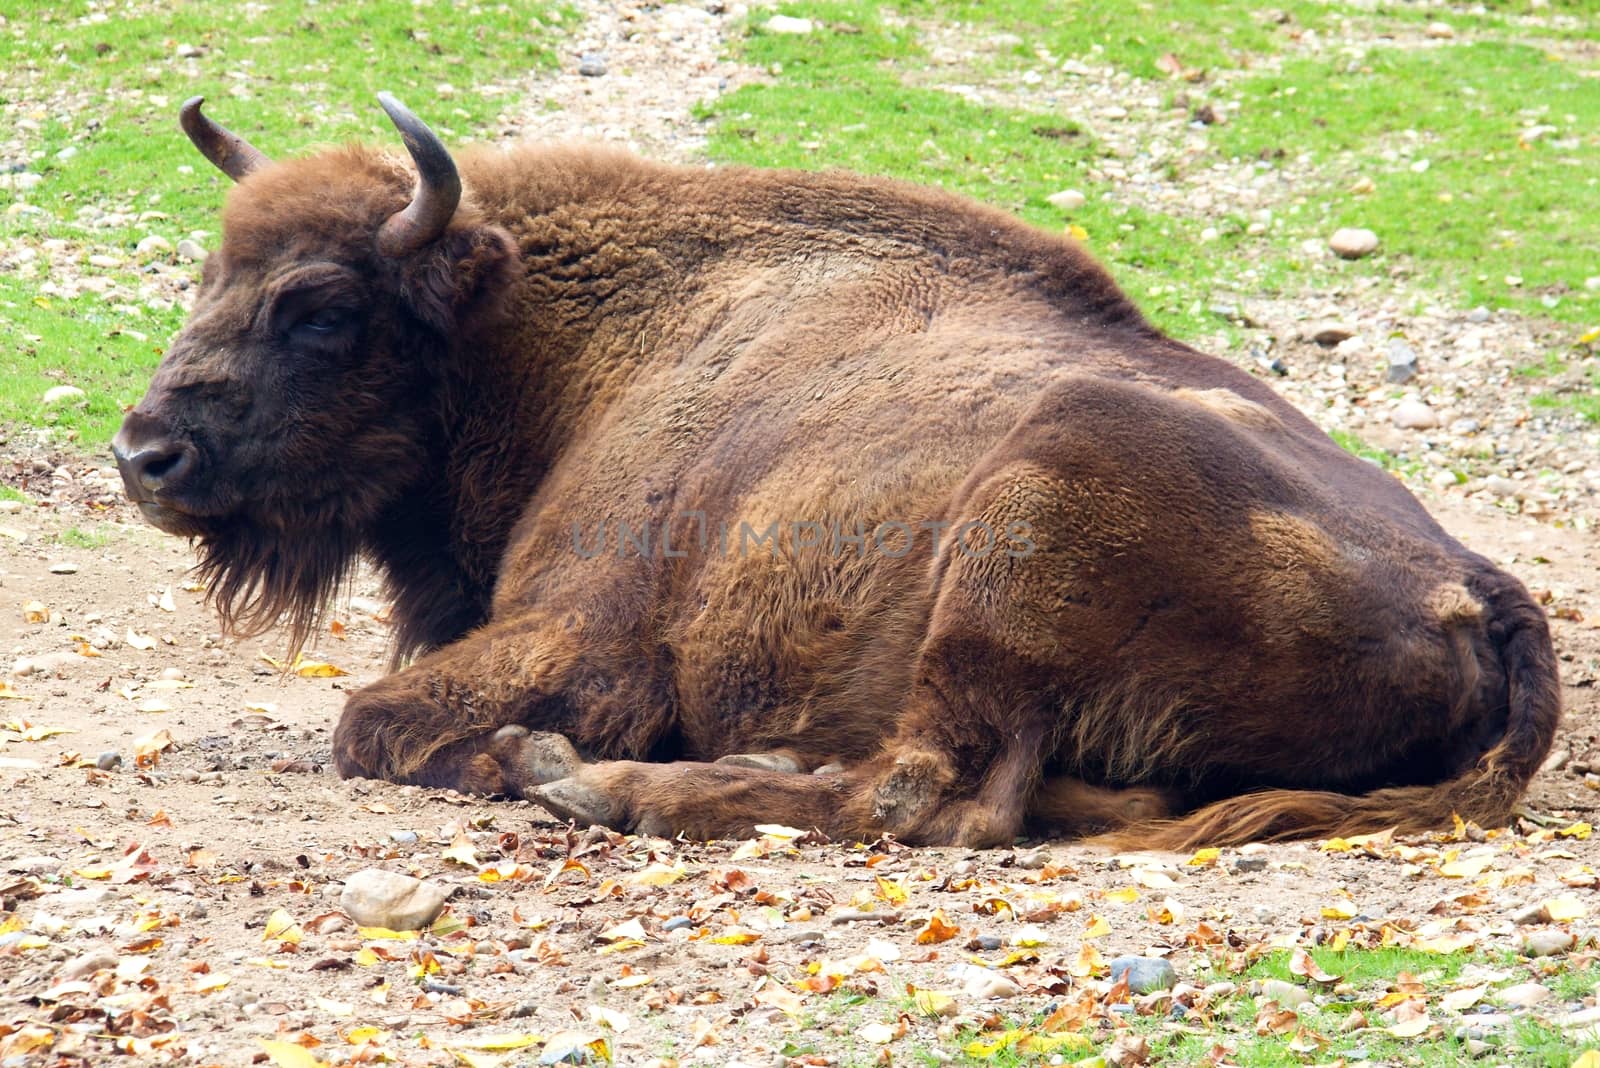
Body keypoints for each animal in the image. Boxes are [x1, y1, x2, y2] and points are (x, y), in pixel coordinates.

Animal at [116, 93, 1561, 850]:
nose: (144, 452)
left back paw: (583, 778)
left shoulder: (582, 638)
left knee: (929, 791)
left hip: (1017, 534)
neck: (550, 331)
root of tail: (1480, 590)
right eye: (208, 274)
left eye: (320, 308)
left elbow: (373, 723)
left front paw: (528, 753)